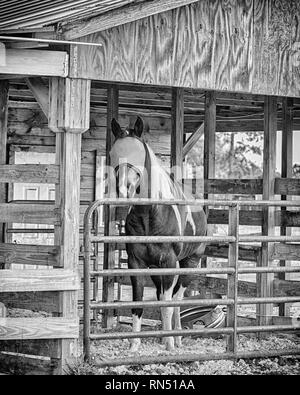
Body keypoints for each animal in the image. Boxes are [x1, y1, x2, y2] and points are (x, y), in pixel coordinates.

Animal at [109, 116, 207, 352]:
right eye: (113, 154)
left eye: (138, 154)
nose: (123, 190)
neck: (150, 213)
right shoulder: (136, 263)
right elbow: (139, 304)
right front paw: (134, 344)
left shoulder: (169, 262)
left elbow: (167, 304)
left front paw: (170, 344)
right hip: (156, 268)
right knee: (163, 295)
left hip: (190, 263)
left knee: (176, 298)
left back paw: (176, 336)